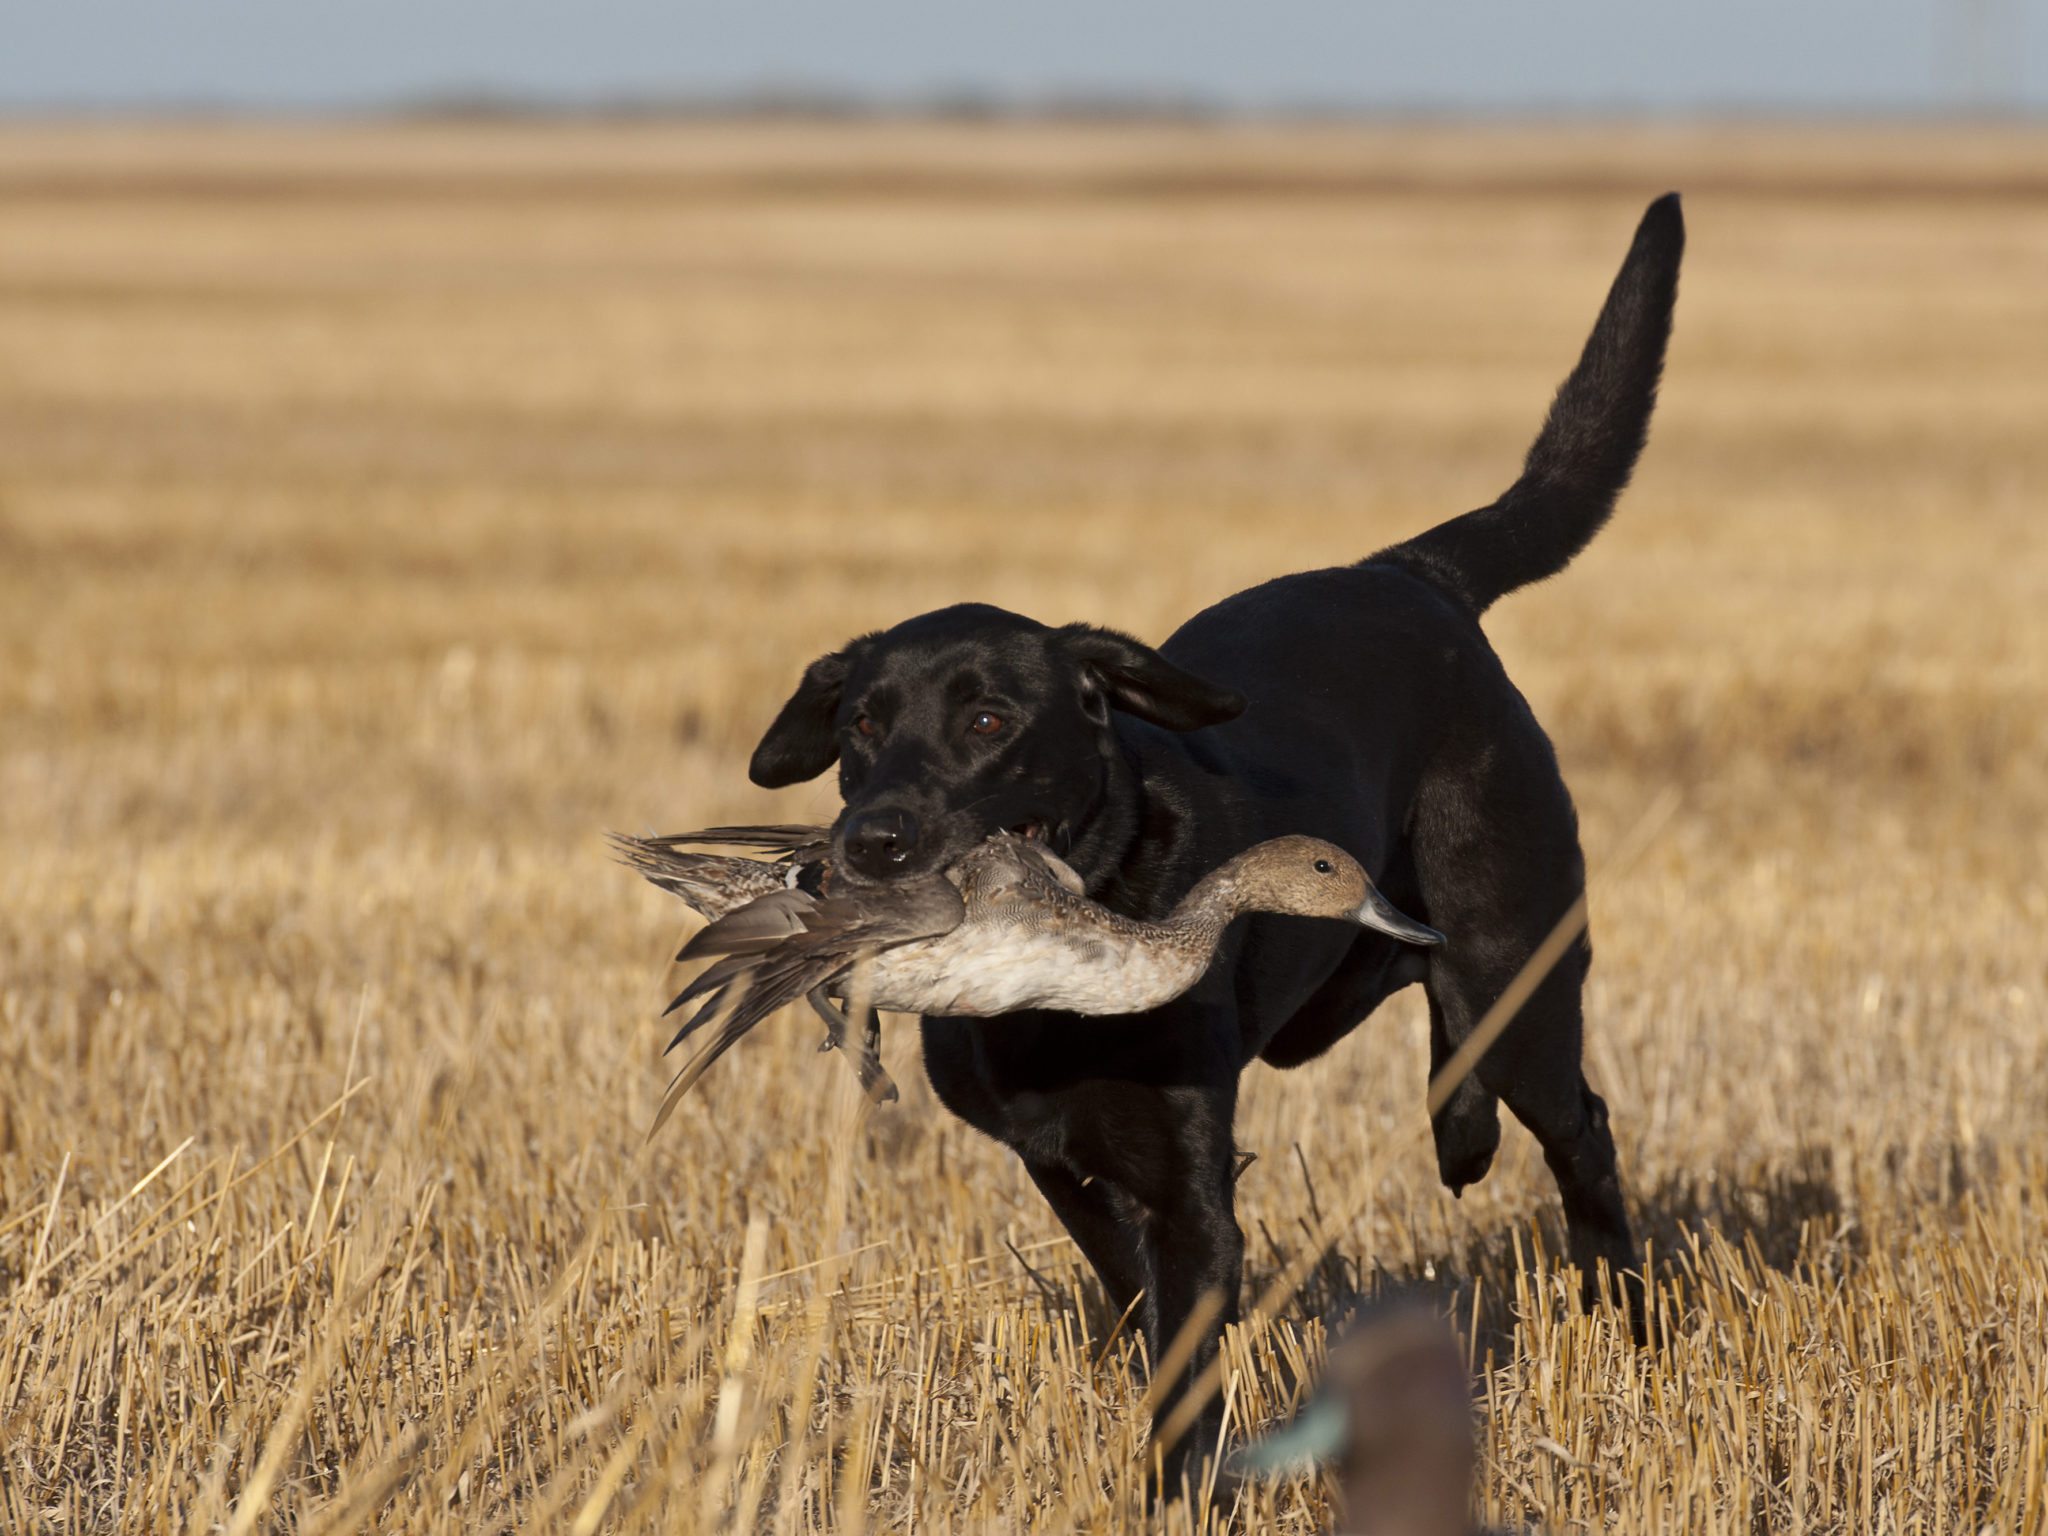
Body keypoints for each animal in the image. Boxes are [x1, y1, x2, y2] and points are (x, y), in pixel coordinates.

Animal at [745, 192, 1687, 1490]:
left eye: (988, 721)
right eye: (861, 726)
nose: (873, 843)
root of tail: (1415, 574)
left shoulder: (1188, 1176)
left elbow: (1184, 1344)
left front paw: (1179, 1486)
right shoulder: (1056, 1156)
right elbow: (1133, 1288)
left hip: (1518, 969)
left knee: (1576, 1129)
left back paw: (1625, 1315)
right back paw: (1460, 1133)